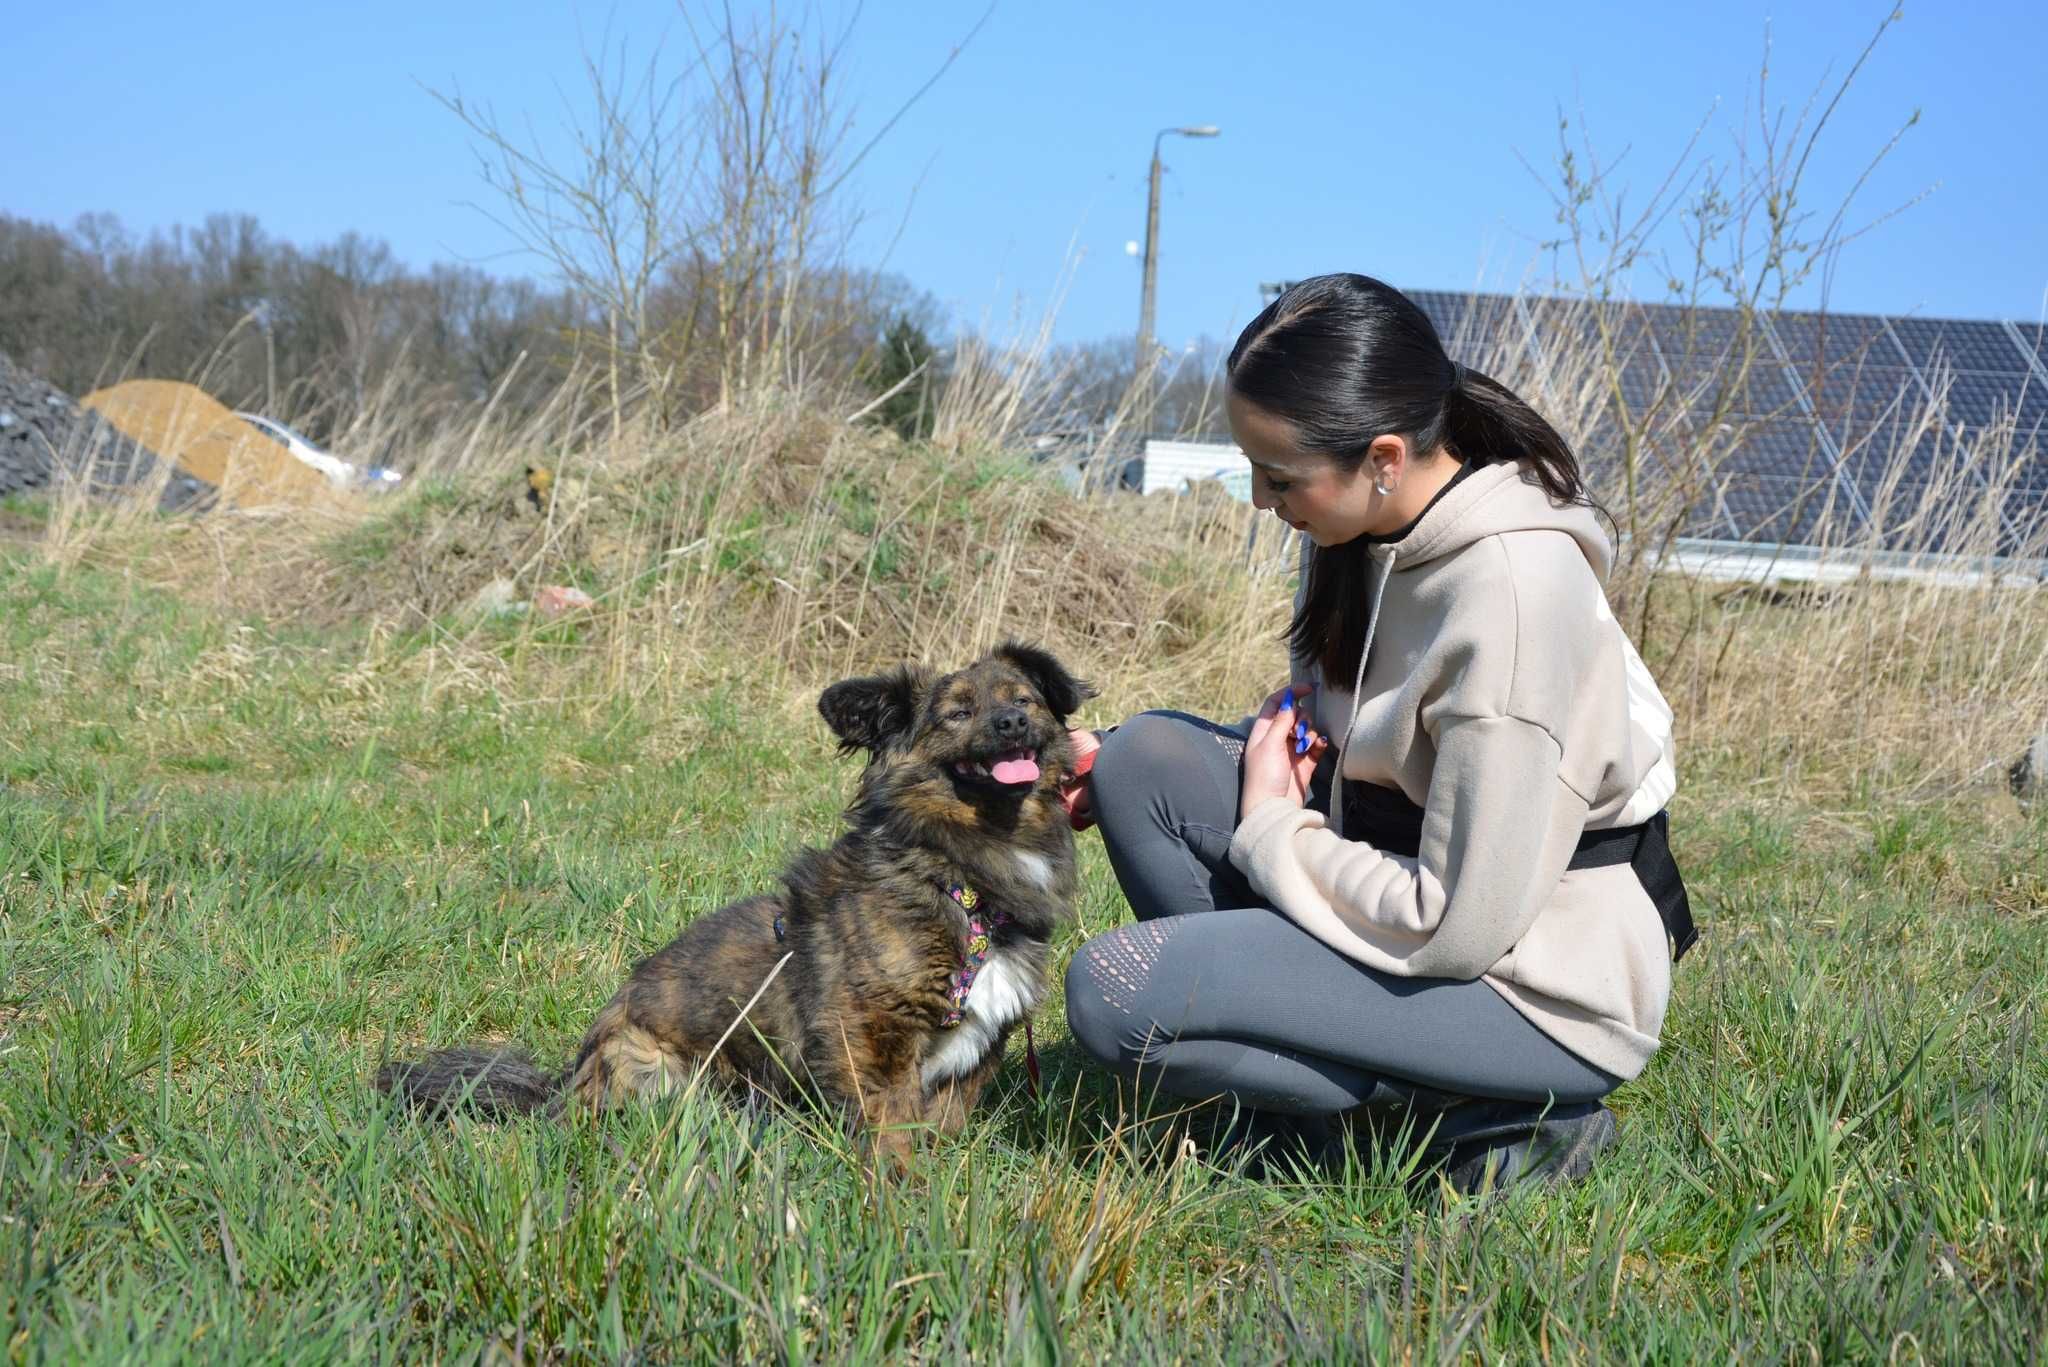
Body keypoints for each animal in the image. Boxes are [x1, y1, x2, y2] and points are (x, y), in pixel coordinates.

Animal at [376, 643, 1097, 1164]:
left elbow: (939, 1130)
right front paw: (901, 1202)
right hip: (653, 1067)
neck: (960, 875)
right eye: (957, 713)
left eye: (1024, 699)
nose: (1012, 723)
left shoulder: (970, 1053)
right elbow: (893, 1134)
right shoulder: (871, 1038)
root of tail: (566, 1081)